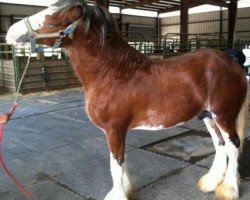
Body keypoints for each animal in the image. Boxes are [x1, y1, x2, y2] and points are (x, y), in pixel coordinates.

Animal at [5, 0, 248, 199]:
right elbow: (121, 163)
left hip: (223, 115)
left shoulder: (114, 130)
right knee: (220, 145)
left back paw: (228, 190)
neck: (112, 71)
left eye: (51, 21)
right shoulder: (118, 131)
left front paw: (118, 195)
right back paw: (211, 183)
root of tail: (232, 62)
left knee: (233, 146)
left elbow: (116, 164)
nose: (9, 33)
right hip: (208, 116)